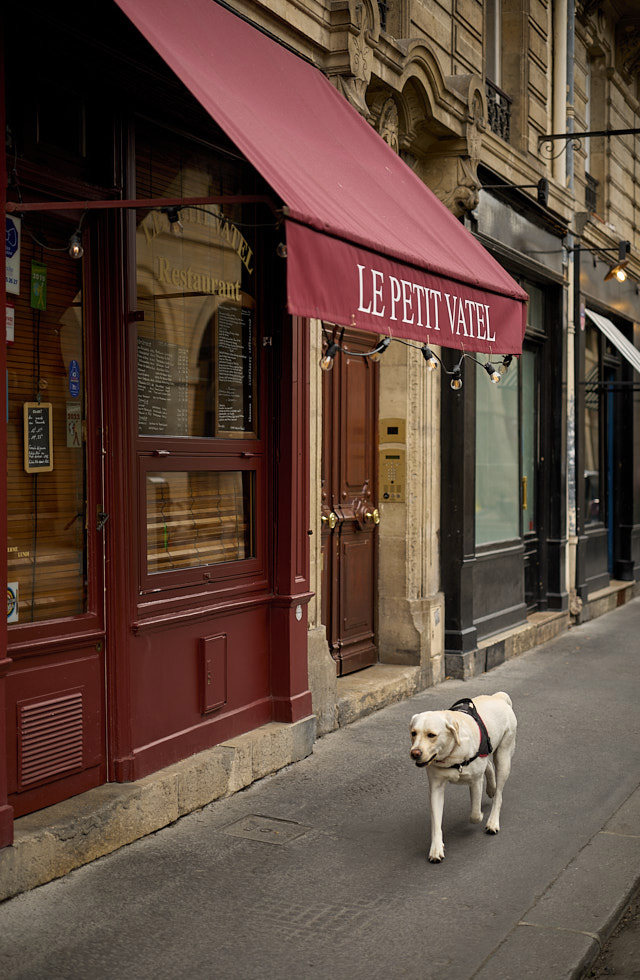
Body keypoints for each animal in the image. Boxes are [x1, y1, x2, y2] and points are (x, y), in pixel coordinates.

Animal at [412, 692, 516, 860]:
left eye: (431, 735)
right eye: (413, 733)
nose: (415, 753)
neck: (452, 754)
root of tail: (498, 697)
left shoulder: (476, 781)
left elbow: (475, 814)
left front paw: (480, 816)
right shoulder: (436, 788)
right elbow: (436, 821)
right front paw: (436, 848)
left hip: (504, 757)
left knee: (499, 794)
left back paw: (493, 821)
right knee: (488, 766)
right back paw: (491, 788)